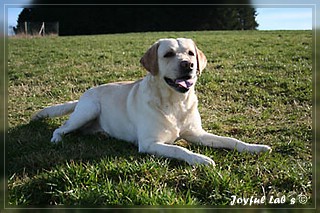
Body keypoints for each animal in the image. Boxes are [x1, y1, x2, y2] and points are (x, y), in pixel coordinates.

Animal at [32, 37, 272, 165]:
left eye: (190, 53)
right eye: (168, 54)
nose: (188, 65)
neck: (175, 103)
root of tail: (85, 93)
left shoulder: (197, 134)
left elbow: (231, 140)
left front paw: (255, 148)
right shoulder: (149, 143)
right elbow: (180, 150)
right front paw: (200, 159)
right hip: (87, 110)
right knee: (61, 128)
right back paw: (57, 139)